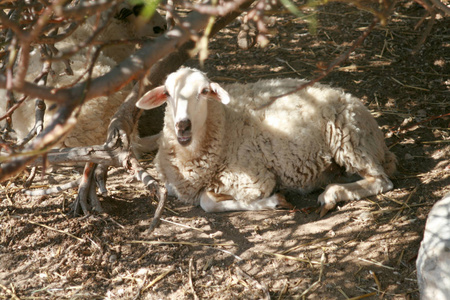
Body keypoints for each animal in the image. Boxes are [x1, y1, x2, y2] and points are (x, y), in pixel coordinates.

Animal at [135, 68, 396, 213]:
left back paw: (331, 194)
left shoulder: (254, 180)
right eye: (167, 93)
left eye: (205, 91)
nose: (183, 125)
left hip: (349, 140)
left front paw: (275, 201)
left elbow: (207, 201)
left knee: (381, 181)